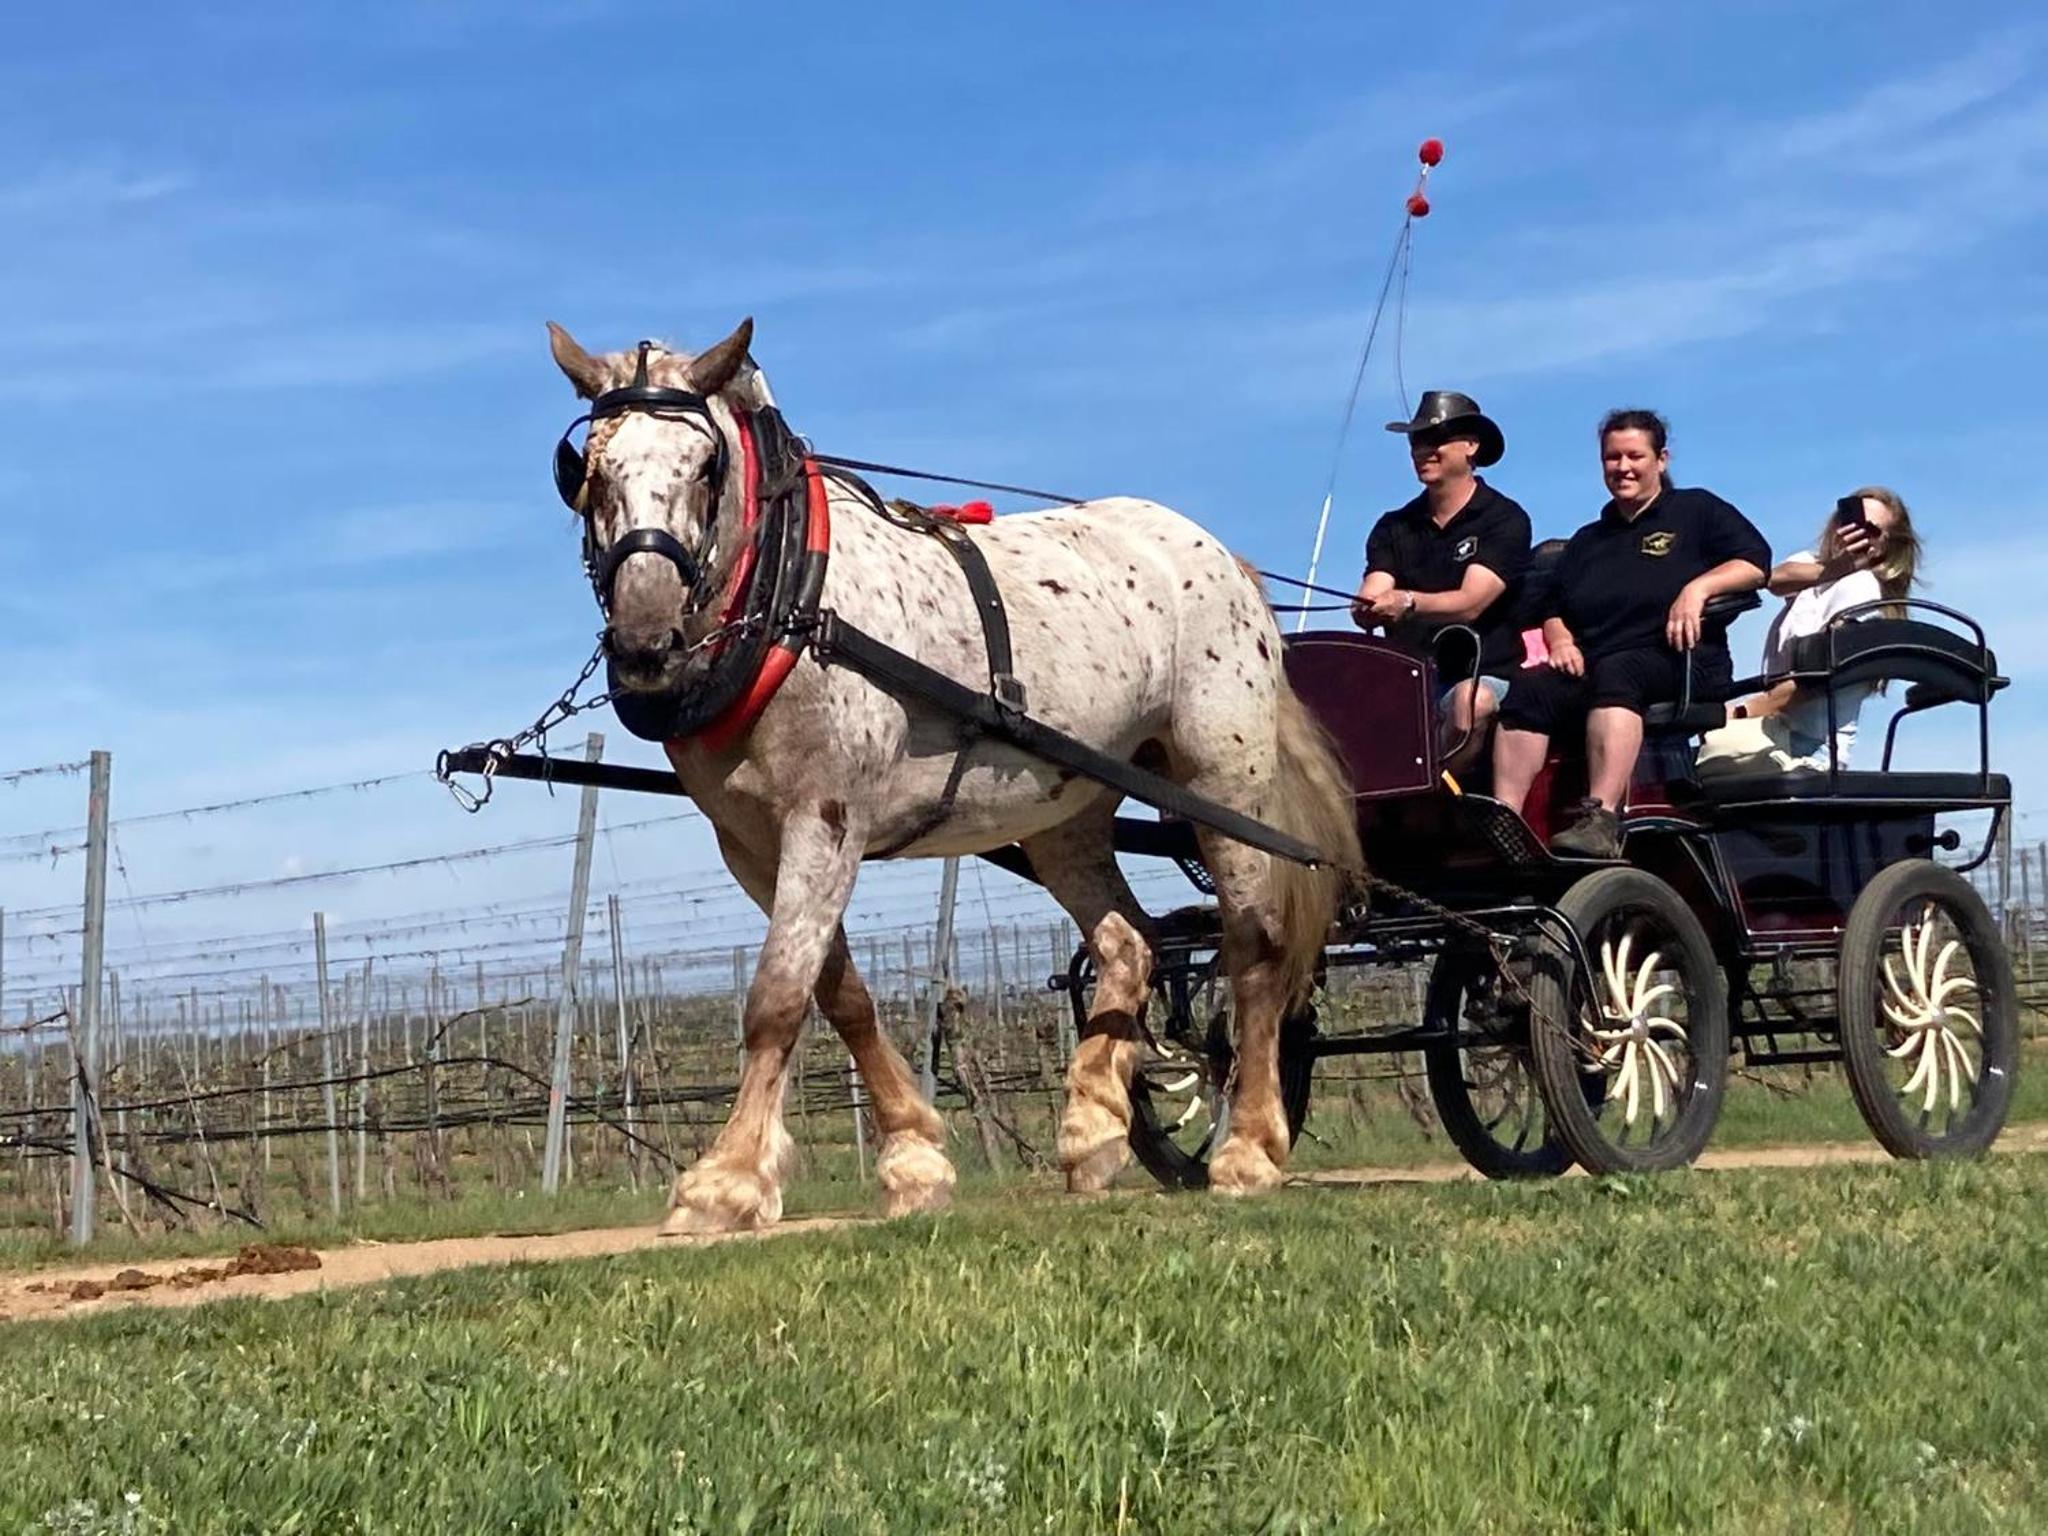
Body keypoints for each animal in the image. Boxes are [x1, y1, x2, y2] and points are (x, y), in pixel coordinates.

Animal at [544, 317, 1362, 1234]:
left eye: (705, 466)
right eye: (586, 472)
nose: (646, 646)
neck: (793, 603)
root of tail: (1224, 557)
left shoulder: (826, 819)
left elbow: (778, 996)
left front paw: (726, 1180)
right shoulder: (752, 844)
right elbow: (842, 995)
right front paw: (912, 1157)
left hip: (1222, 779)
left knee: (1254, 946)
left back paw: (1249, 1145)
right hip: (1068, 810)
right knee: (1128, 941)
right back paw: (1092, 1128)